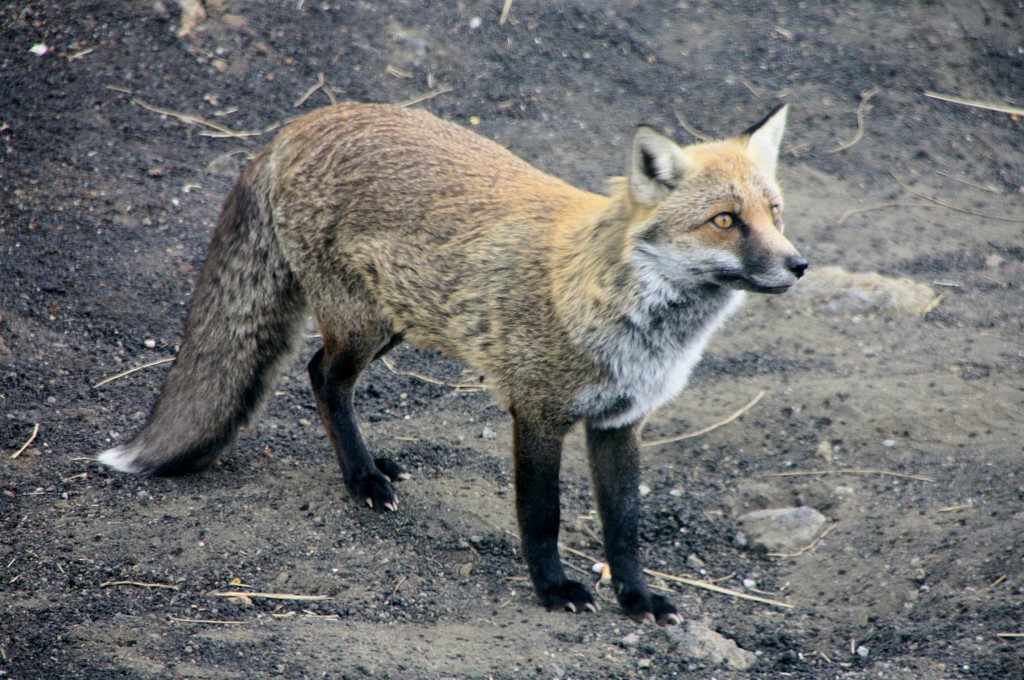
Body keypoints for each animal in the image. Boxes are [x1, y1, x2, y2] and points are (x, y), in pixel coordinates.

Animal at [96, 98, 802, 622]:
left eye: (774, 212)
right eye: (725, 220)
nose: (798, 265)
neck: (627, 315)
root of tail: (306, 121)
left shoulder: (619, 421)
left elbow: (624, 525)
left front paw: (637, 599)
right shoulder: (537, 412)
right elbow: (541, 515)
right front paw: (554, 590)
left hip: (395, 324)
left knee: (321, 374)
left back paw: (370, 466)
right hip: (364, 324)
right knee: (322, 377)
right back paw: (362, 480)